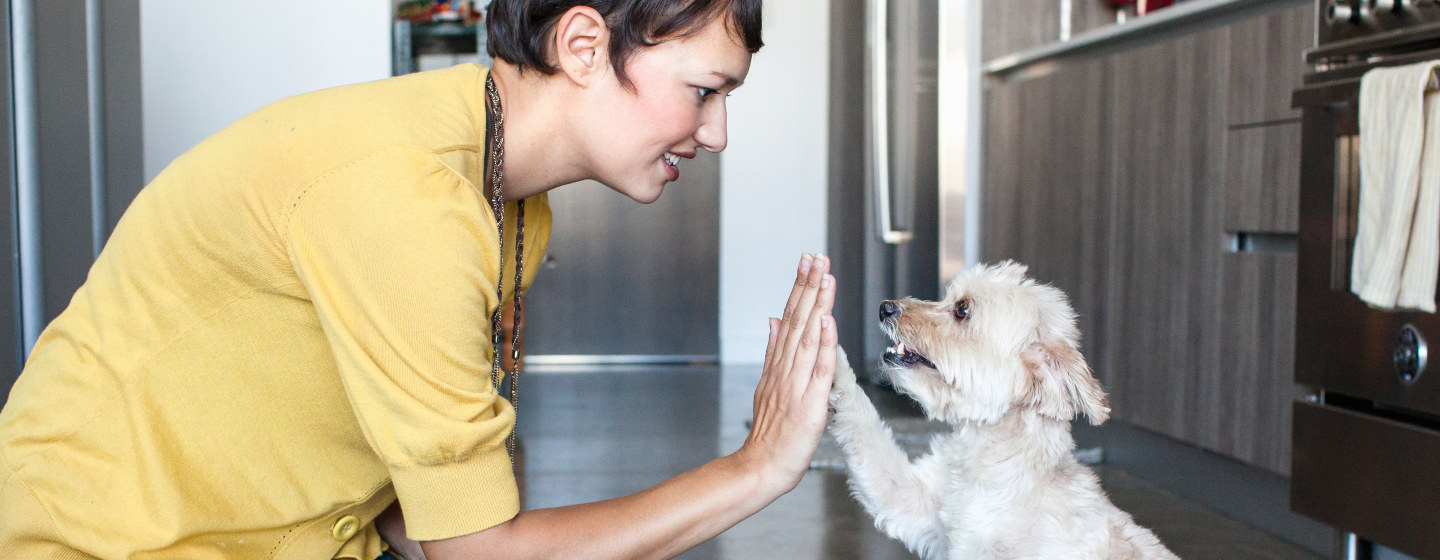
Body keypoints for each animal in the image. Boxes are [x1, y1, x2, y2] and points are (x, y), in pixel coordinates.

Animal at [829, 262, 1175, 558]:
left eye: (962, 309)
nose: (885, 306)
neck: (989, 462)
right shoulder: (916, 502)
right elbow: (865, 428)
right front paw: (828, 353)